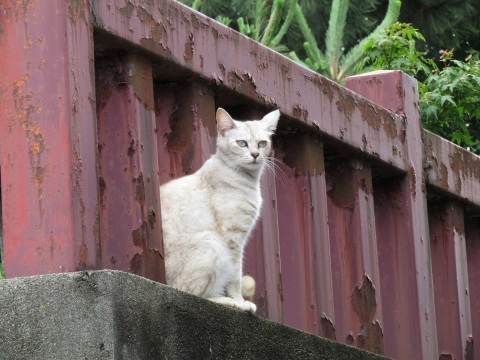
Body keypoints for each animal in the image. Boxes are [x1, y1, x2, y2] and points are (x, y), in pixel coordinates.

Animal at [161, 107, 282, 312]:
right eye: (242, 143)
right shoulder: (233, 239)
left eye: (262, 143)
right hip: (211, 242)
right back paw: (225, 301)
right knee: (191, 293)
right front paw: (240, 303)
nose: (255, 154)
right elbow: (234, 277)